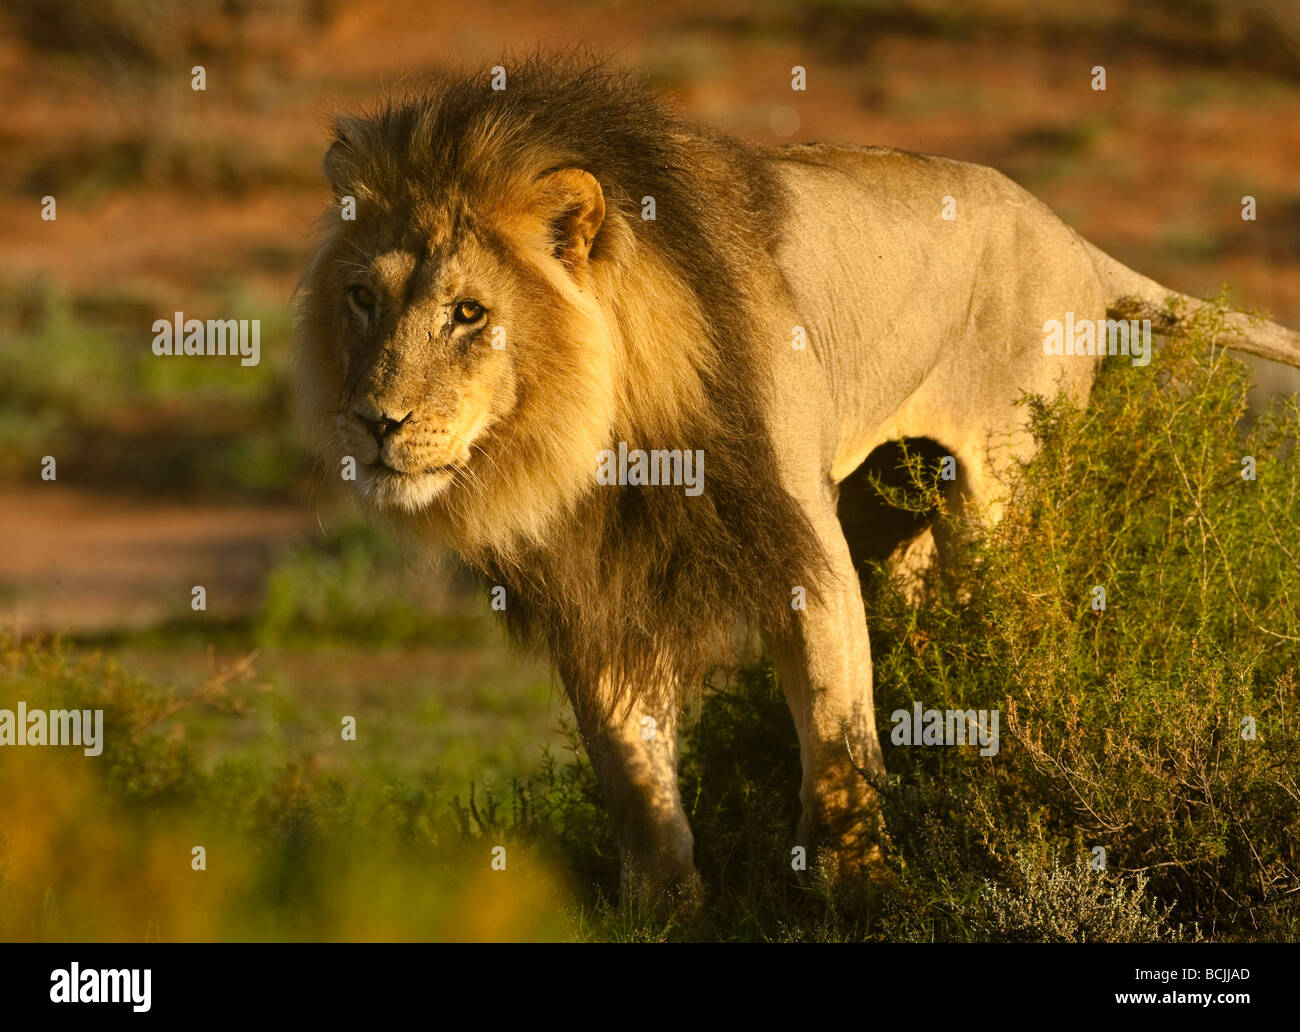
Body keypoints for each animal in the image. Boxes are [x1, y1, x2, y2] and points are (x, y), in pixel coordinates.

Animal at [294, 55, 1300, 895]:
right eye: (362, 299)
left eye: (470, 313)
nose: (376, 423)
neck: (599, 434)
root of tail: (1066, 232)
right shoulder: (595, 584)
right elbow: (633, 772)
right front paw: (664, 908)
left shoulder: (799, 544)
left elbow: (836, 734)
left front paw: (862, 892)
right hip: (892, 504)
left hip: (999, 498)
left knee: (1022, 628)